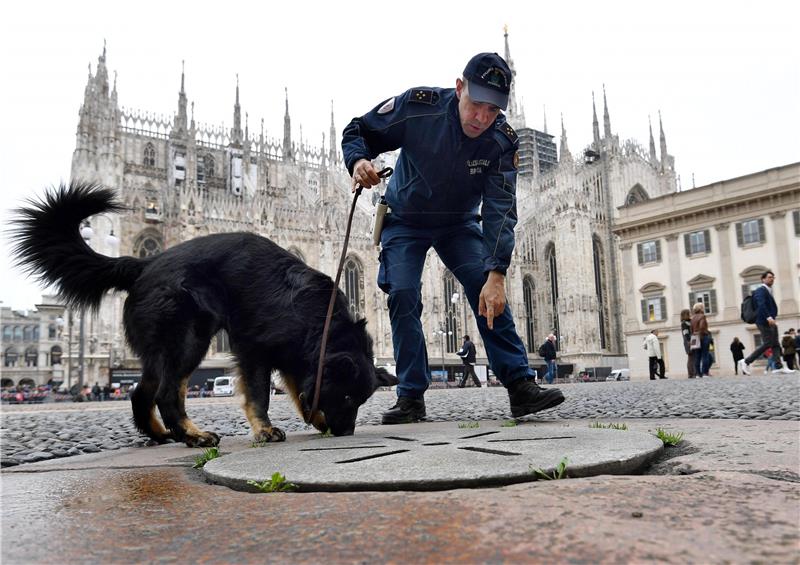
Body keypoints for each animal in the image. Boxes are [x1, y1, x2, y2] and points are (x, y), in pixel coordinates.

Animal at [10, 183, 398, 448]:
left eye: (360, 401)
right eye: (347, 397)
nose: (346, 432)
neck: (320, 322)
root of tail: (145, 263)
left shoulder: (294, 358)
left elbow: (301, 392)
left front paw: (314, 417)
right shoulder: (253, 350)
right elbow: (260, 394)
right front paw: (266, 429)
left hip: (164, 350)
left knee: (141, 393)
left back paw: (163, 435)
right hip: (188, 339)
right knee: (167, 394)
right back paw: (194, 436)